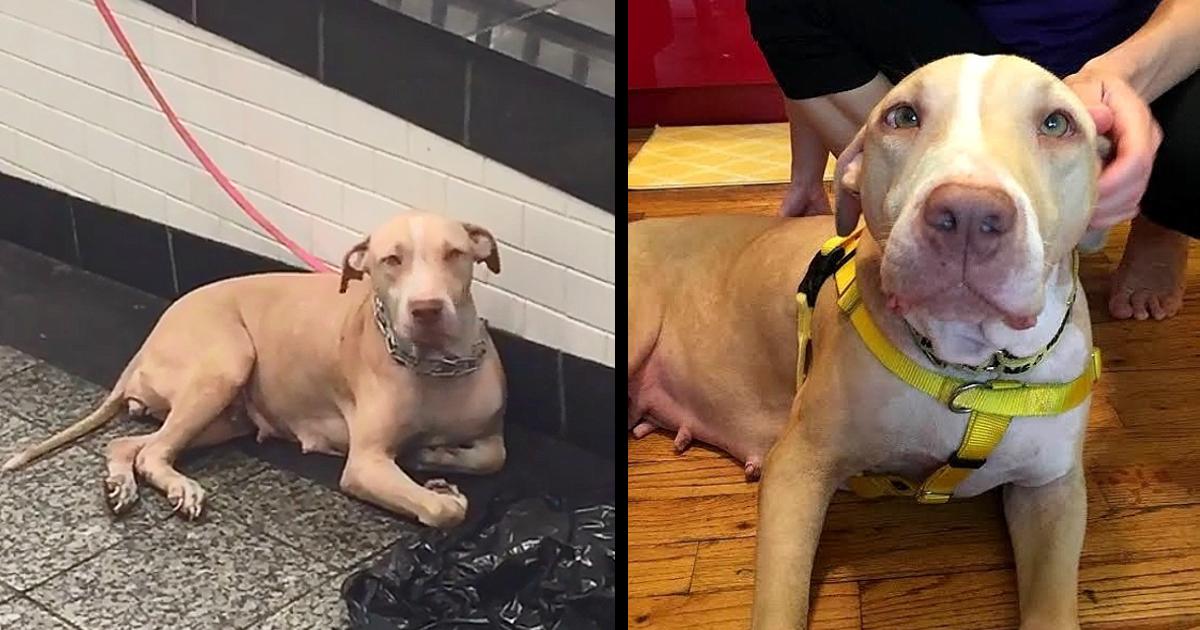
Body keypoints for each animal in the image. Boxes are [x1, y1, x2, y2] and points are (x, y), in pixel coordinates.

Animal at [2, 213, 506, 528]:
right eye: (391, 260)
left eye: (455, 253)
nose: (427, 310)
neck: (435, 367)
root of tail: (150, 339)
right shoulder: (365, 464)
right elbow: (444, 511)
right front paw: (440, 488)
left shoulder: (490, 433)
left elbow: (491, 457)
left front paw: (434, 458)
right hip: (225, 365)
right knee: (151, 450)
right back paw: (179, 488)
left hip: (224, 418)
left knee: (131, 444)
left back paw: (123, 484)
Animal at [633, 55, 1108, 628]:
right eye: (902, 116)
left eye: (1057, 124)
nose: (968, 216)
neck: (971, 370)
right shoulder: (800, 465)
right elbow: (780, 601)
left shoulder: (1051, 490)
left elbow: (1052, 604)